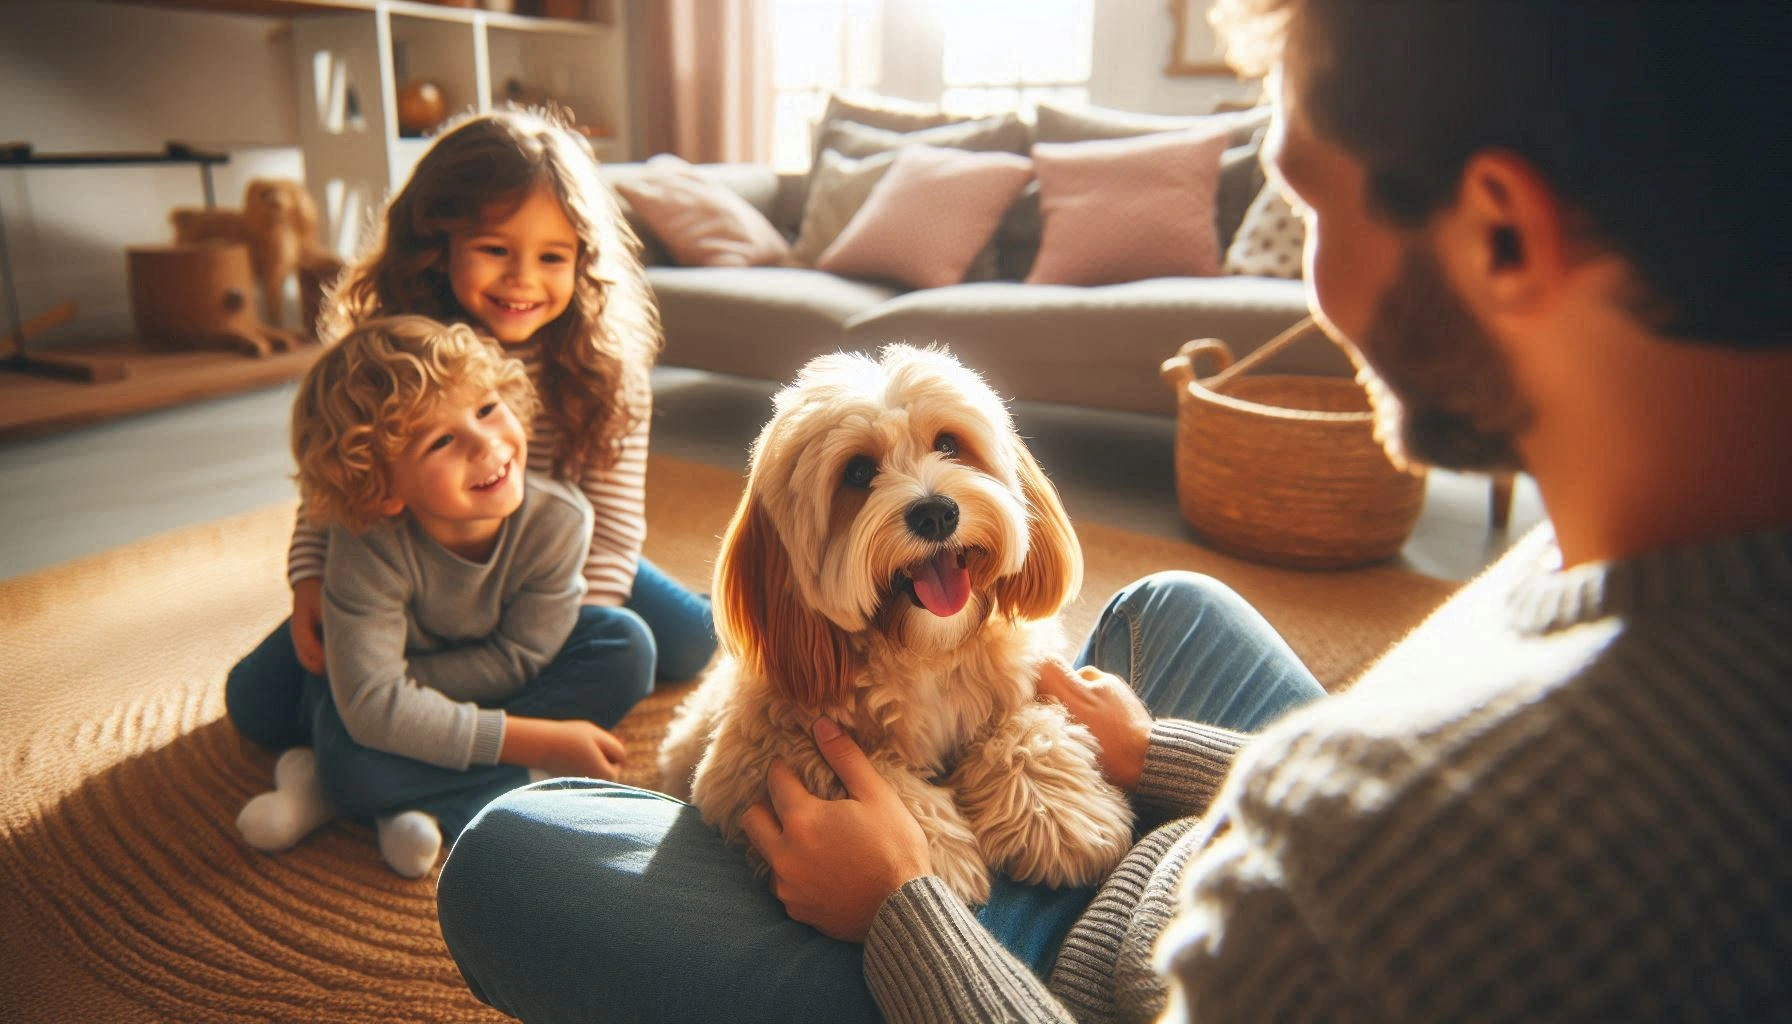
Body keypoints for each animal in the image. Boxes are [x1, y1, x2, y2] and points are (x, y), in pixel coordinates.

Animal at [659, 342, 1132, 903]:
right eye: (858, 472)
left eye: (948, 444)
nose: (936, 514)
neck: (923, 650)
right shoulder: (754, 758)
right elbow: (866, 770)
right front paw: (936, 857)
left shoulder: (1022, 679)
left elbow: (1026, 728)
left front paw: (1059, 816)